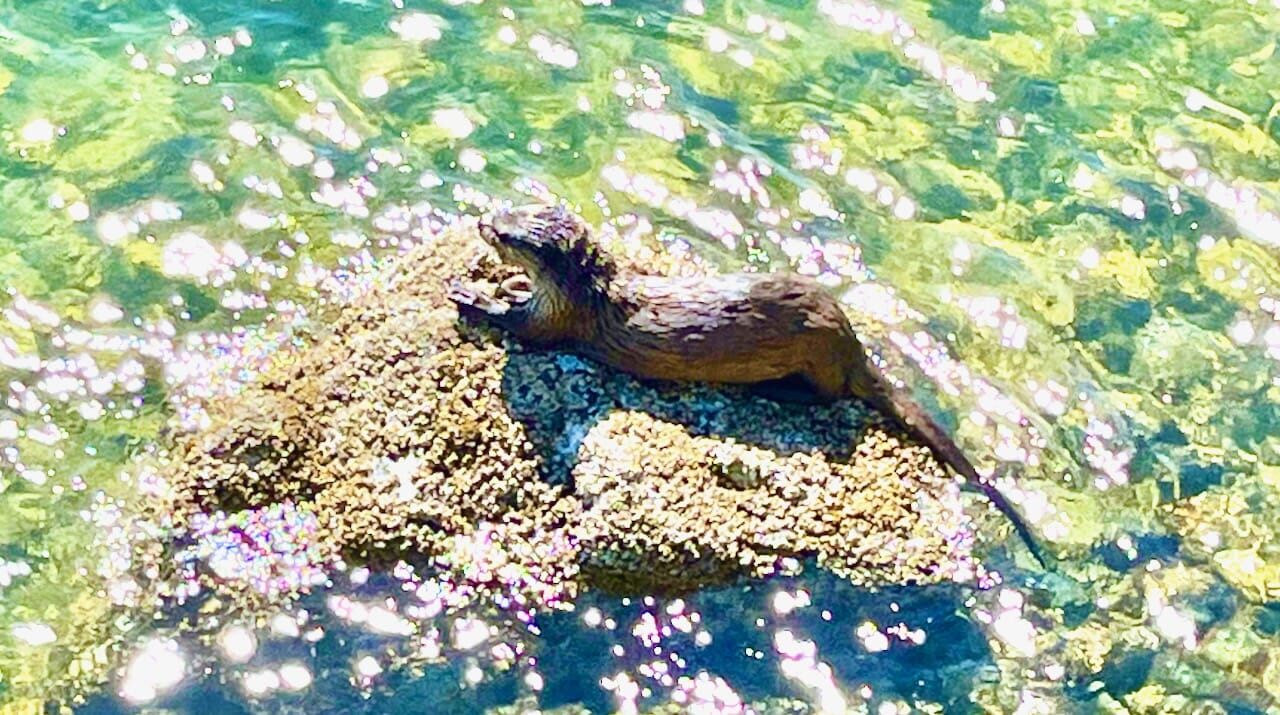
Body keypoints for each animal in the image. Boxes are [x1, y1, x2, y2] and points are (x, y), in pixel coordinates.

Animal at [448, 204, 1048, 567]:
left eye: (507, 234)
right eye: (508, 211)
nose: (481, 220)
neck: (588, 295)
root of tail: (851, 339)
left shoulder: (557, 321)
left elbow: (520, 325)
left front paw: (471, 293)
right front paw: (502, 283)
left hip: (815, 352)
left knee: (830, 394)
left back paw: (777, 392)